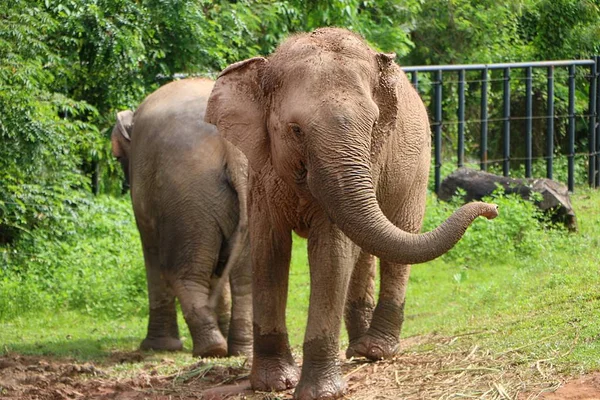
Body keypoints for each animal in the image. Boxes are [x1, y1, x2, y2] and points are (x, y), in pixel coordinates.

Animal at [109, 77, 251, 356]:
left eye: (118, 157)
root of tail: (235, 153)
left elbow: (151, 251)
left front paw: (157, 347)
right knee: (247, 277)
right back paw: (238, 350)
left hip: (189, 193)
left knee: (182, 271)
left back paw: (211, 349)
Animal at [205, 28, 496, 400]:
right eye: (295, 130)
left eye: (372, 126)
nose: (492, 210)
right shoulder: (260, 172)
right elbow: (269, 248)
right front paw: (272, 384)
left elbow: (331, 251)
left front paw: (321, 393)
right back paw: (359, 350)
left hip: (416, 166)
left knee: (397, 236)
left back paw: (375, 351)